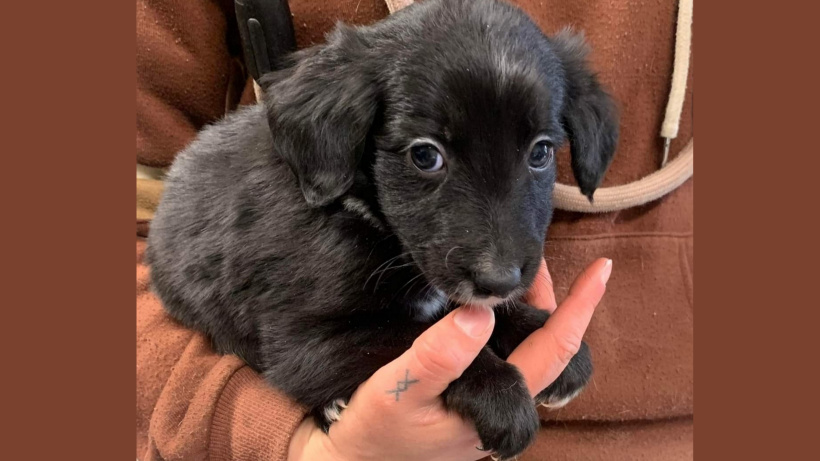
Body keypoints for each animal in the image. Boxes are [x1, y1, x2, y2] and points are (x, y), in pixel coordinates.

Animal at [149, 0, 616, 454]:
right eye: (424, 155)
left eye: (540, 152)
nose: (498, 281)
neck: (368, 220)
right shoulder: (304, 342)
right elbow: (410, 334)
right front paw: (498, 391)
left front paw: (535, 326)